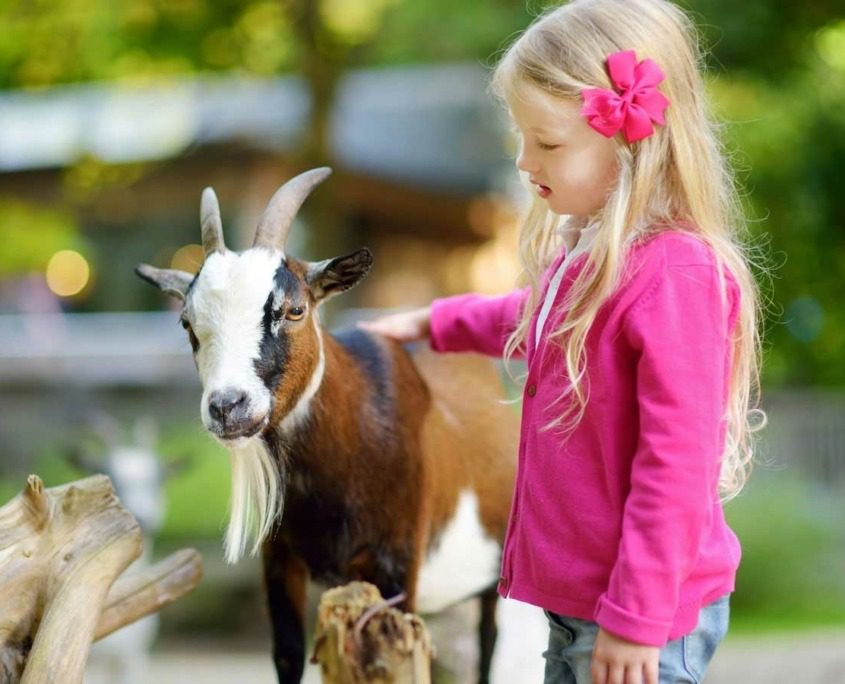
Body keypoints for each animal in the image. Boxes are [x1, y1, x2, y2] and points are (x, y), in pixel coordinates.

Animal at [135, 167, 516, 684]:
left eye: (295, 309)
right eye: (186, 323)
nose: (227, 406)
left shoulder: (399, 564)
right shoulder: (280, 562)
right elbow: (288, 656)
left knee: (489, 641)